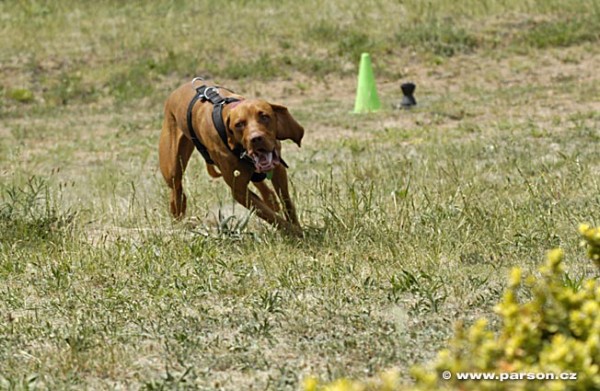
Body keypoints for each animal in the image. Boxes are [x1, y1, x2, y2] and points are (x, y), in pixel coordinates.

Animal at [158, 79, 304, 236]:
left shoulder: (278, 169)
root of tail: (176, 91)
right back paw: (178, 219)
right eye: (239, 124)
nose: (256, 139)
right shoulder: (239, 191)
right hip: (172, 170)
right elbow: (272, 216)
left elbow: (287, 202)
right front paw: (295, 232)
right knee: (176, 190)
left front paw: (297, 227)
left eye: (264, 116)